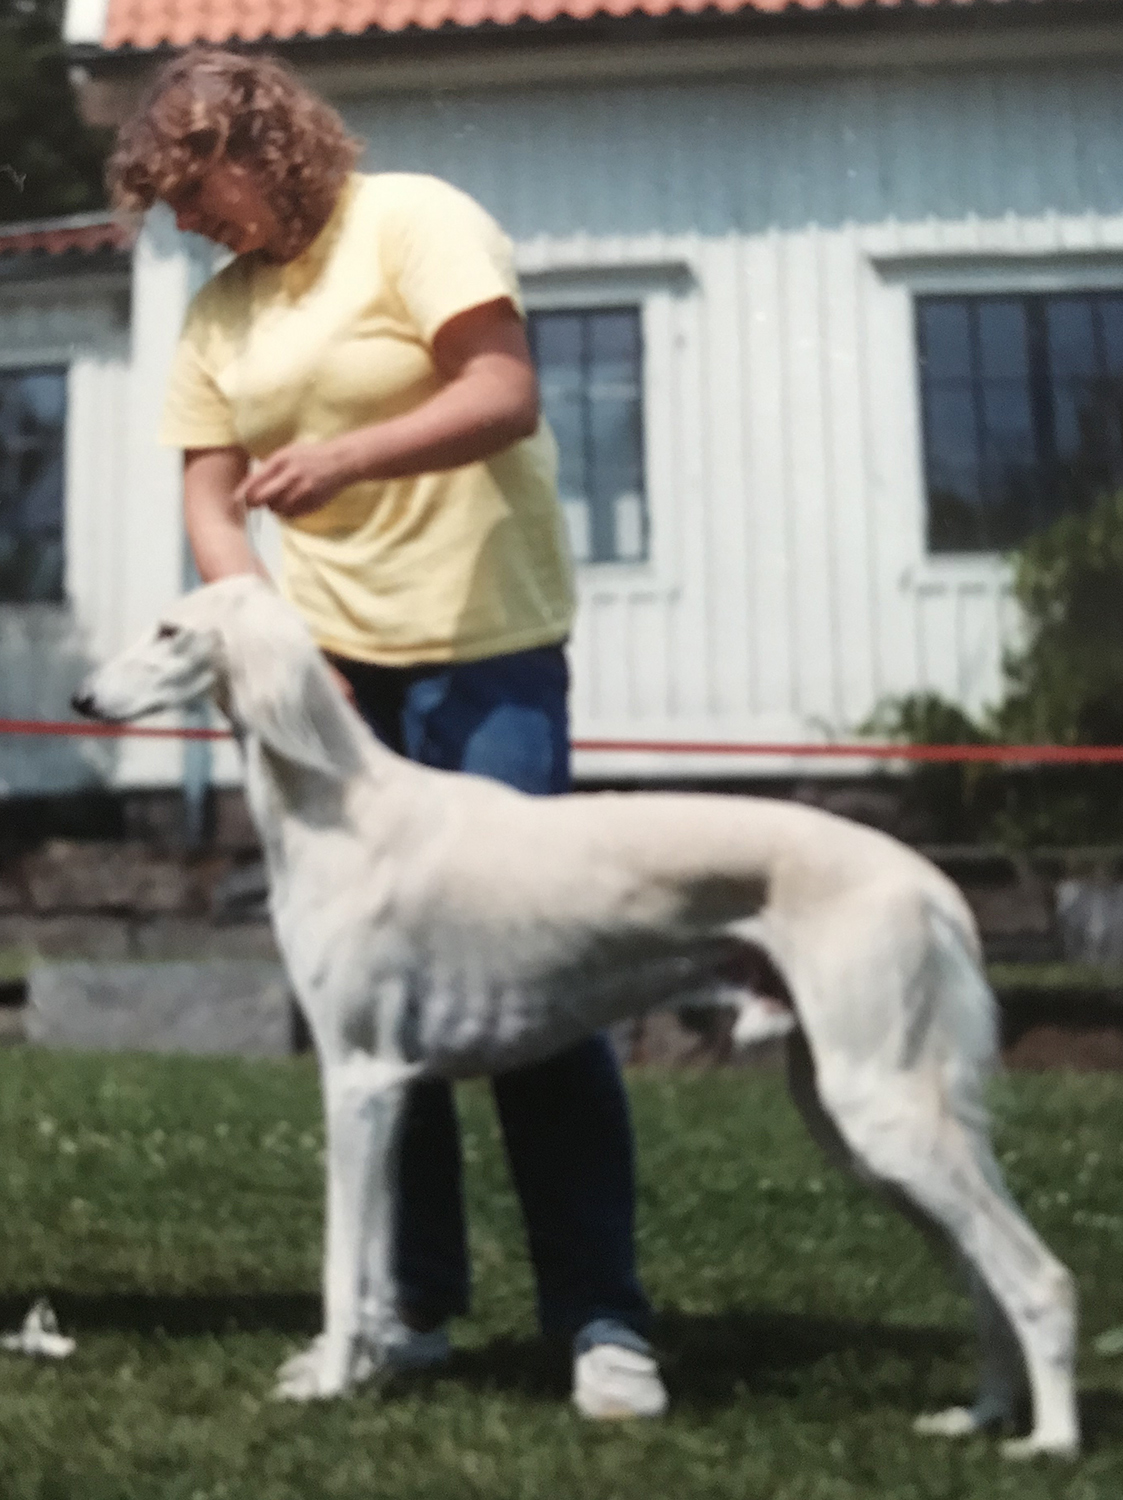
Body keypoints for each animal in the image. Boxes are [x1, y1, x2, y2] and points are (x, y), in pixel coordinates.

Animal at [76, 573, 1079, 1452]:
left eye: (170, 630)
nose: (84, 699)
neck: (342, 807)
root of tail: (928, 881)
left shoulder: (357, 1080)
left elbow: (339, 1258)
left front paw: (325, 1385)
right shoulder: (392, 1089)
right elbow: (375, 1257)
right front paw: (356, 1371)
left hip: (881, 1105)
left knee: (1035, 1276)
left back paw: (1050, 1442)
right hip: (853, 1116)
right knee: (980, 1276)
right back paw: (980, 1417)